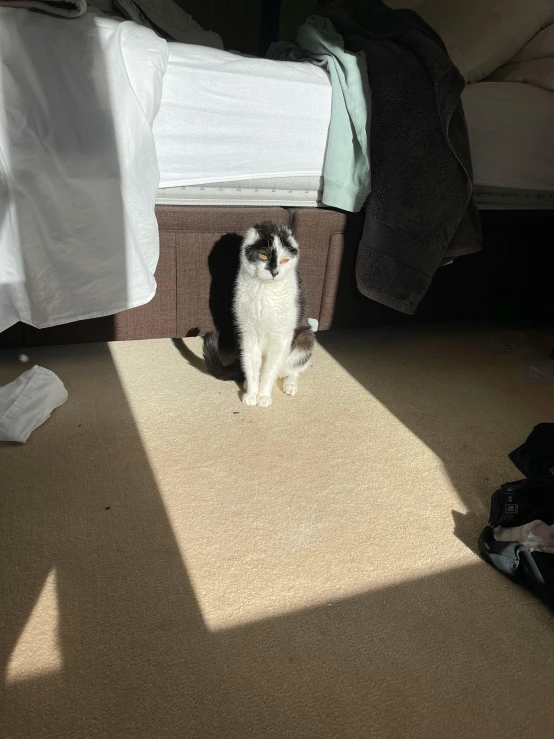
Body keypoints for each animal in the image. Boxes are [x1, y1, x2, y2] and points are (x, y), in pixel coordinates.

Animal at [203, 223, 314, 408]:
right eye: (263, 255)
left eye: (284, 260)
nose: (274, 272)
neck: (264, 291)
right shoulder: (247, 334)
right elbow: (251, 366)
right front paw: (251, 394)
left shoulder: (279, 337)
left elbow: (269, 371)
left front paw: (263, 396)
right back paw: (246, 383)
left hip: (305, 338)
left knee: (293, 369)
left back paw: (290, 385)